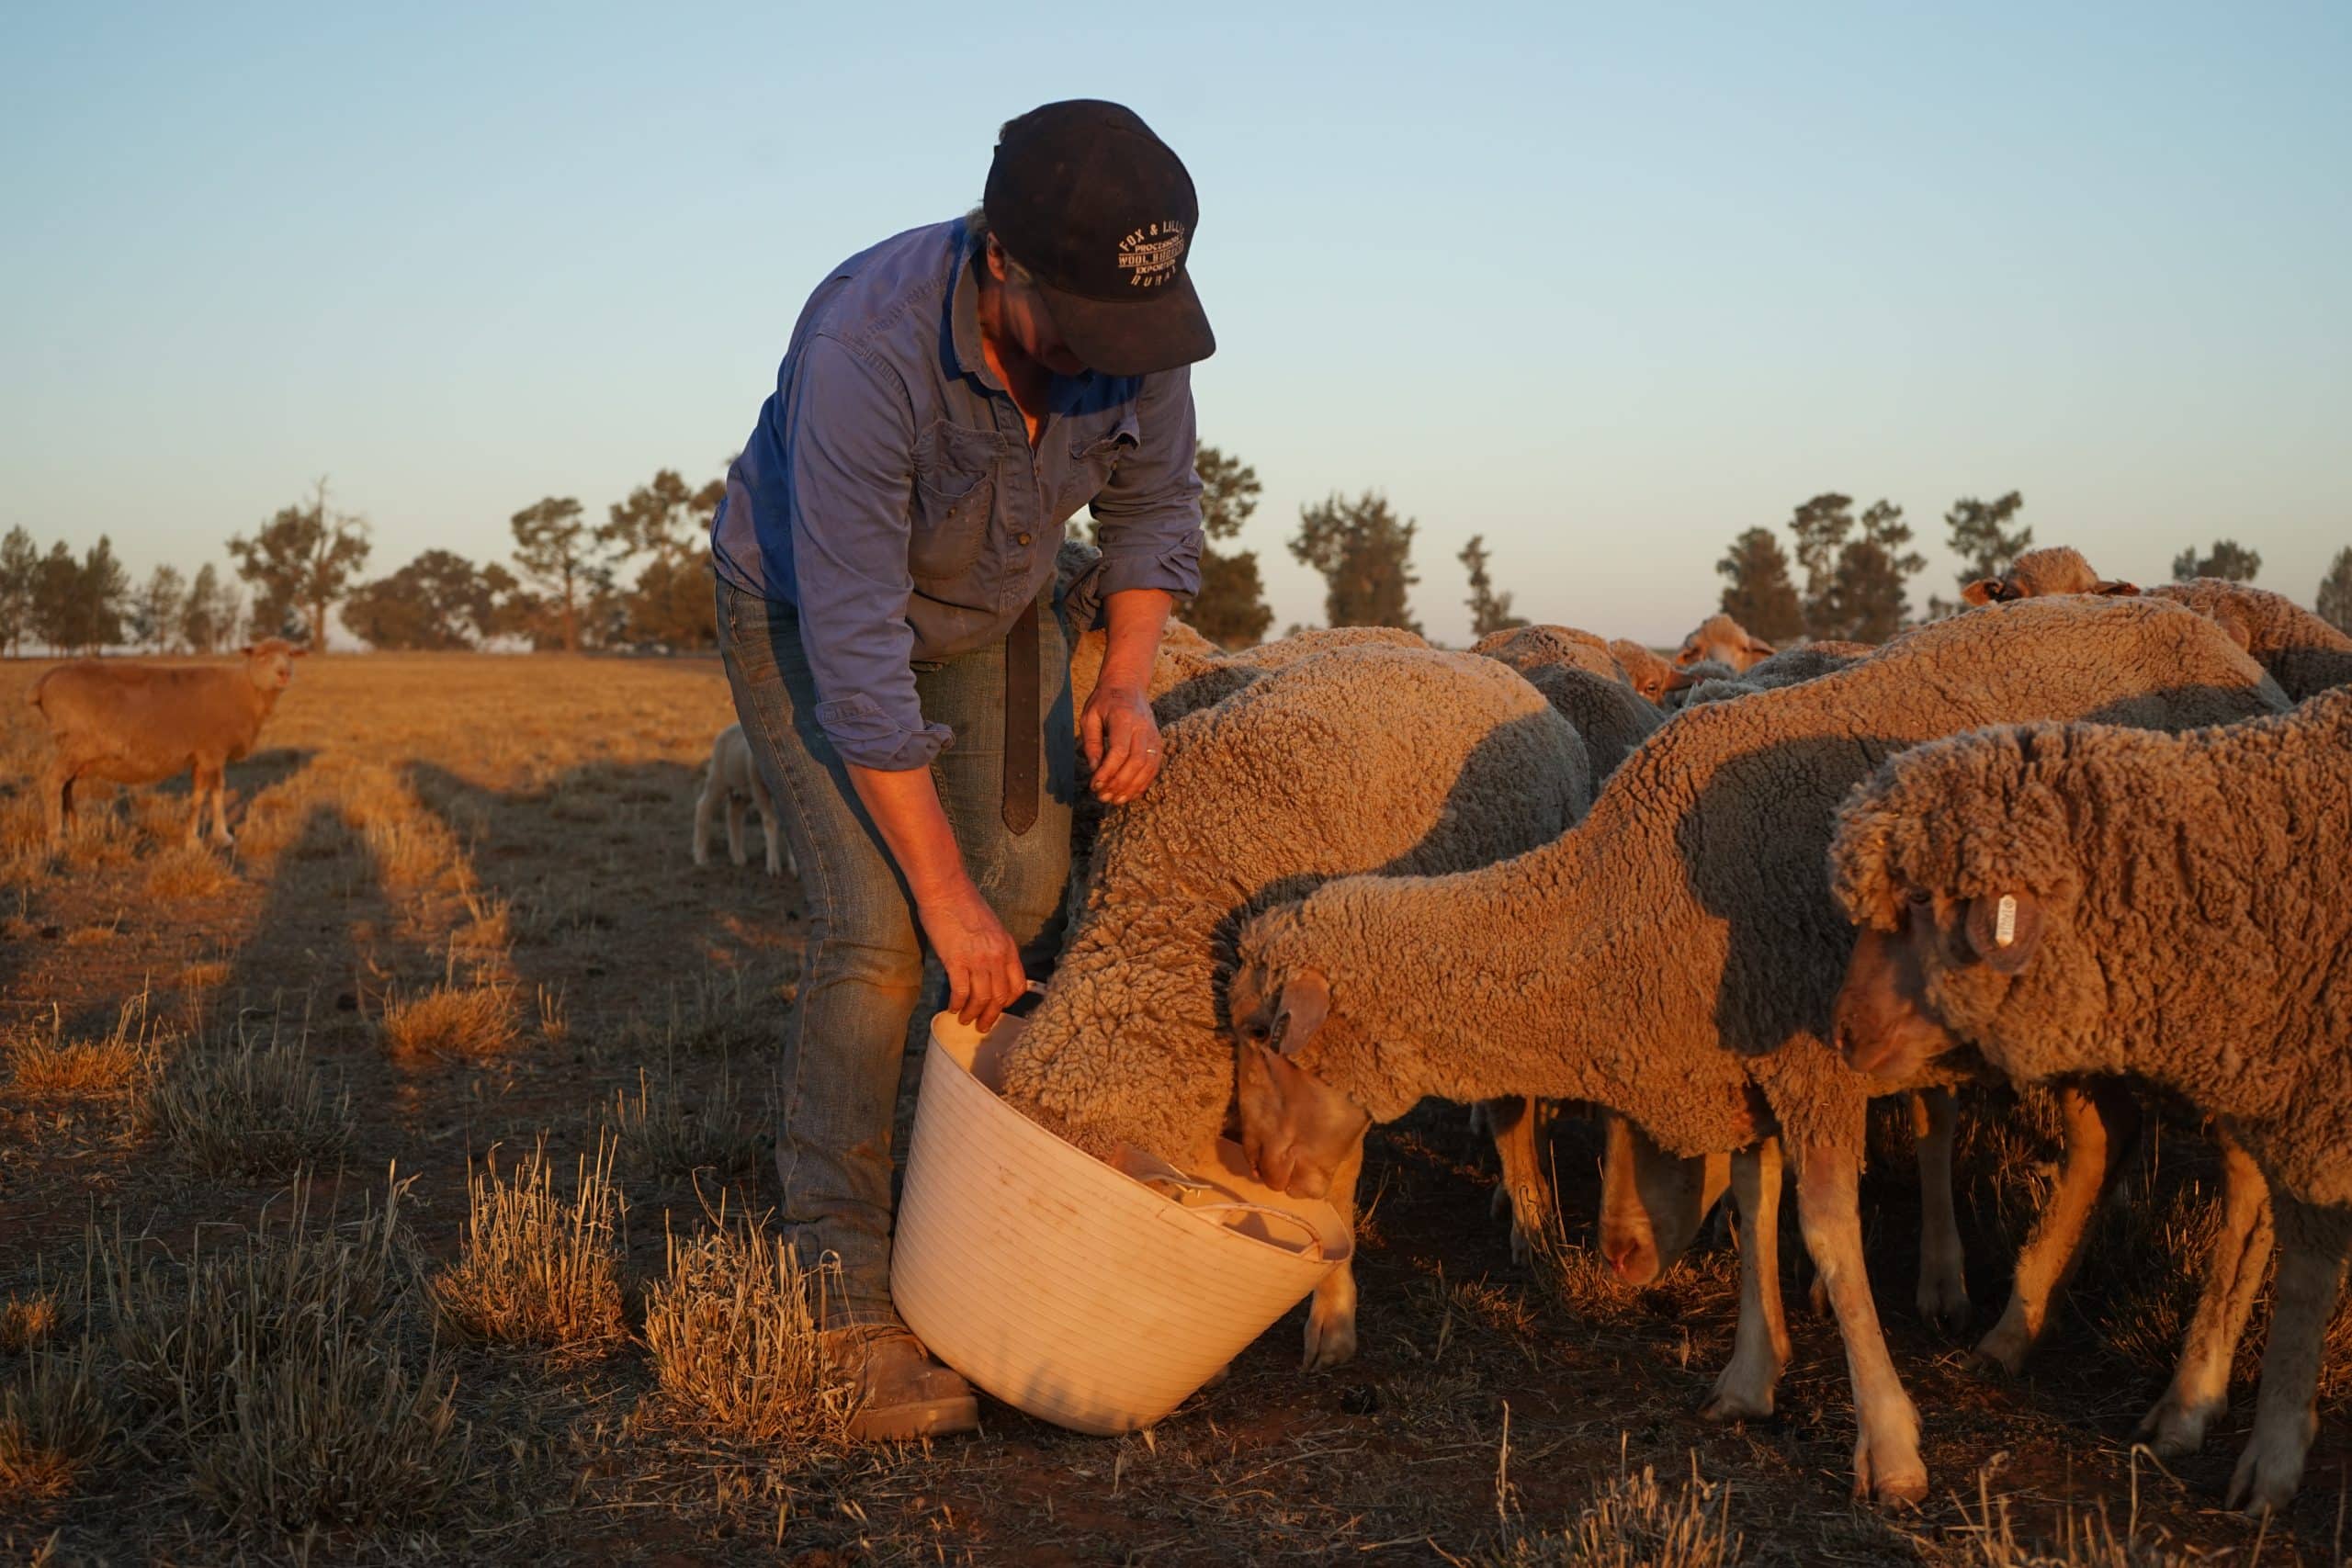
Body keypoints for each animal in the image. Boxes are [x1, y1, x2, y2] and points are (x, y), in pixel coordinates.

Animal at [30, 639, 304, 849]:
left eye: (290, 655)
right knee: (52, 781)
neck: (245, 690)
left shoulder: (202, 755)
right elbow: (213, 792)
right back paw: (56, 839)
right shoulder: (212, 750)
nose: (284, 673)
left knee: (66, 786)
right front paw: (215, 837)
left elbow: (203, 793)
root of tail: (45, 680)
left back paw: (76, 832)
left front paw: (198, 838)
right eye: (262, 656)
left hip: (72, 747)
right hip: (76, 745)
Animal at [692, 723, 794, 878]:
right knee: (704, 806)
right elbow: (770, 822)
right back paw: (701, 856)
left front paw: (794, 866)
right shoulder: (758, 787)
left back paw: (738, 856)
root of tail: (726, 729)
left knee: (734, 813)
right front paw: (773, 866)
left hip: (743, 791)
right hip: (719, 778)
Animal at [1223, 595, 2289, 1503]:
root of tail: (2232, 653)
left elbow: (1827, 1233)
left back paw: (2191, 1403)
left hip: (2228, 997)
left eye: (1265, 1033)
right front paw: (1749, 1376)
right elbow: (1752, 1201)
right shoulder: (1747, 1068)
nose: (1262, 1164)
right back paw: (2013, 1333)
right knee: (2105, 1137)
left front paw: (1891, 1450)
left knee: (2249, 1186)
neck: (1622, 904)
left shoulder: (1815, 1059)